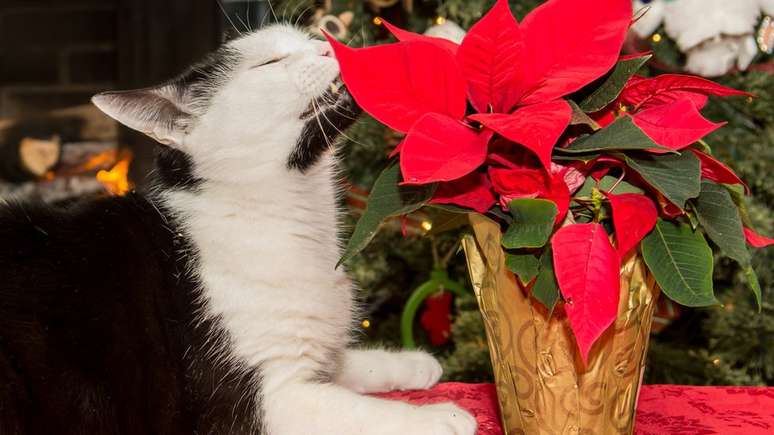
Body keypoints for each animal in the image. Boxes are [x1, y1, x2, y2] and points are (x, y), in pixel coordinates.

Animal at [0, 23, 478, 435]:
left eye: (305, 38)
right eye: (269, 62)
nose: (326, 45)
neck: (302, 217)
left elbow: (338, 364)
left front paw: (411, 364)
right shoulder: (264, 401)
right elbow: (360, 411)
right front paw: (441, 416)